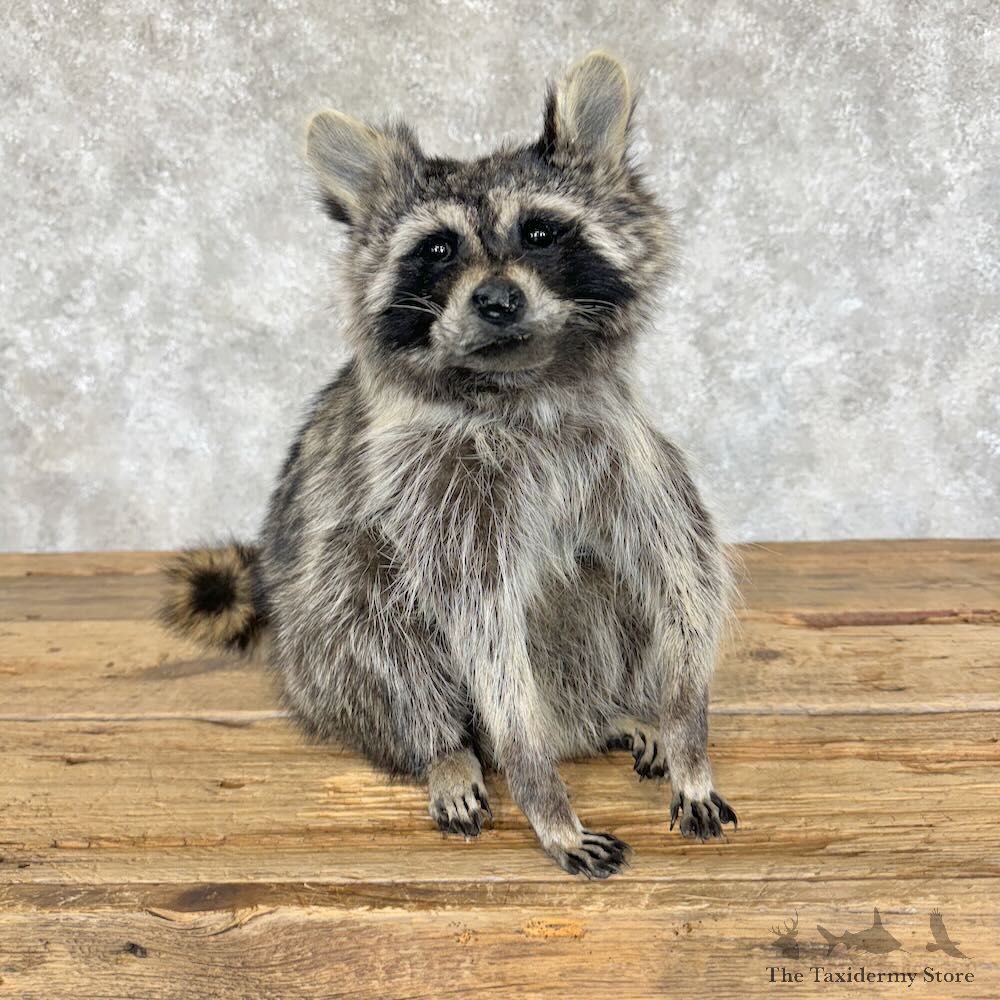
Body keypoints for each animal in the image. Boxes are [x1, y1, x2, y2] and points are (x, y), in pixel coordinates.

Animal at [161, 52, 737, 878]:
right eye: (437, 250)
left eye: (539, 233)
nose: (496, 300)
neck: (517, 383)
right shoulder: (435, 487)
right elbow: (479, 628)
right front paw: (540, 789)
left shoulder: (626, 450)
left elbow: (683, 580)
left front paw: (687, 726)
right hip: (321, 650)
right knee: (361, 592)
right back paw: (446, 747)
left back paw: (620, 712)